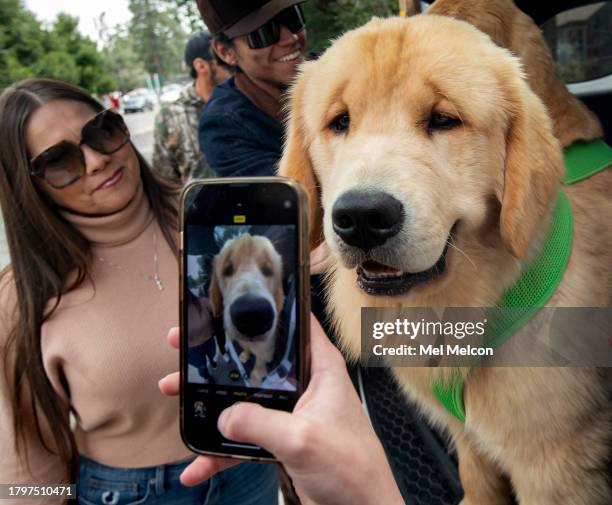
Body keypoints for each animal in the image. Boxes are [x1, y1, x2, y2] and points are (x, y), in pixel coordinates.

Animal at [208, 233, 284, 386]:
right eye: (228, 270)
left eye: (268, 270)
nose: (252, 315)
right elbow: (246, 349)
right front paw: (245, 354)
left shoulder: (265, 352)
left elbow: (257, 370)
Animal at [278, 11, 612, 504]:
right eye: (340, 122)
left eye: (443, 119)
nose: (362, 217)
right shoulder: (467, 434)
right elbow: (475, 476)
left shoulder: (555, 465)